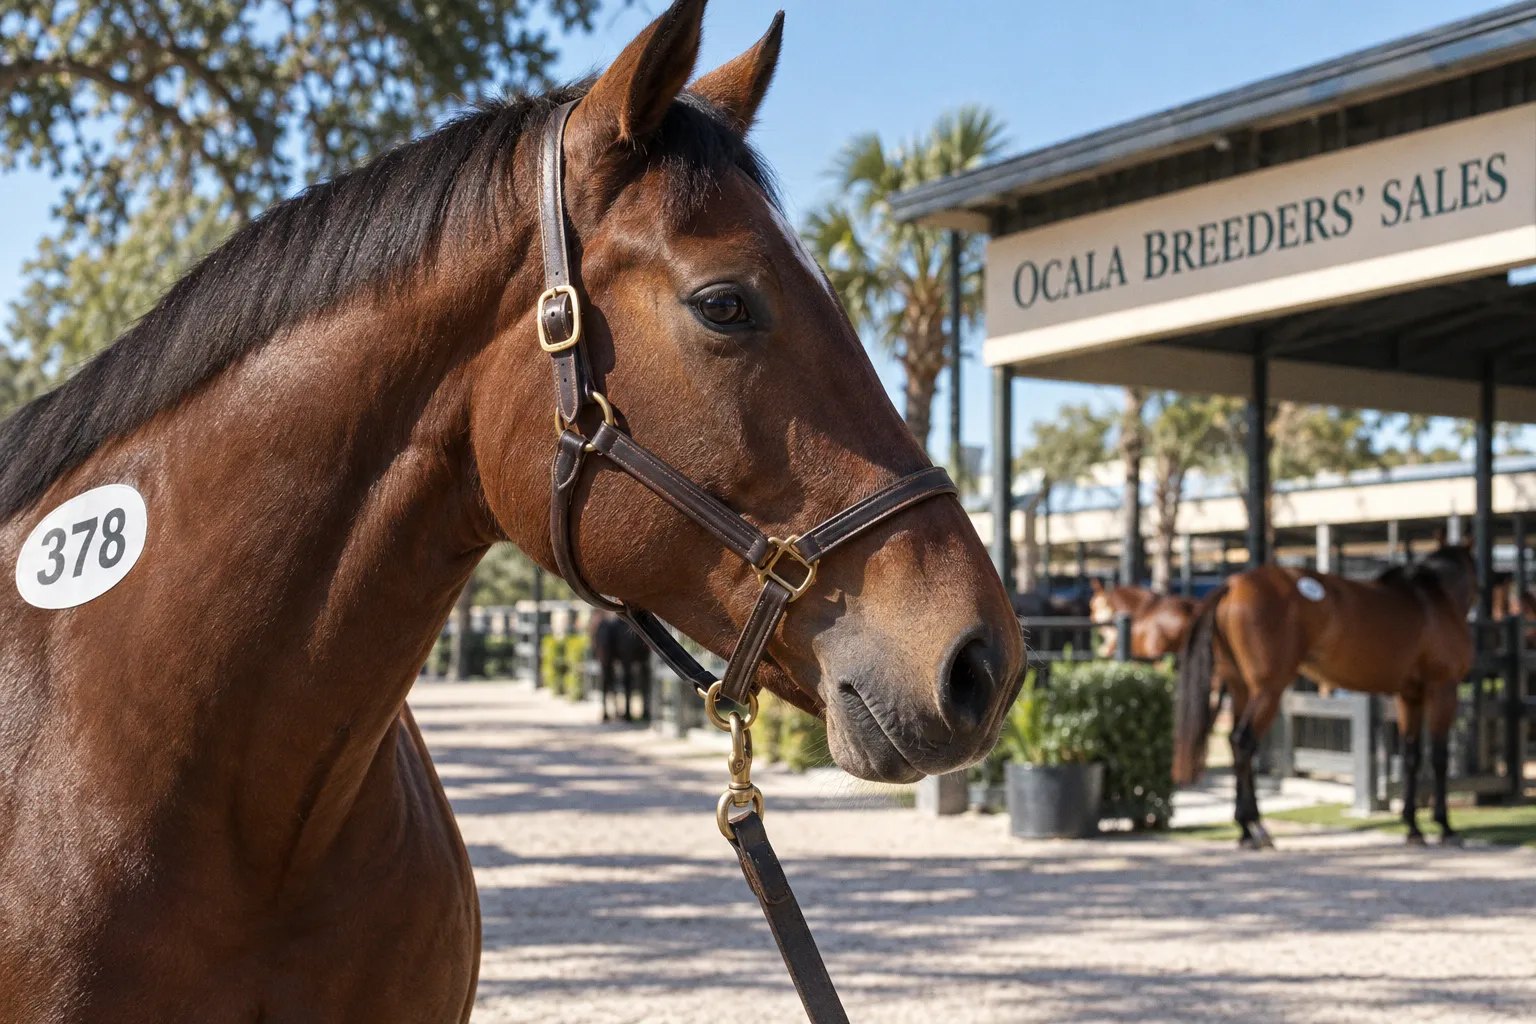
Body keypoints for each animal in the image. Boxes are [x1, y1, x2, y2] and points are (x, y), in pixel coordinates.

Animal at [1175, 544, 1477, 849]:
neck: (1434, 600)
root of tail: (1233, 585)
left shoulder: (1409, 695)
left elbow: (1411, 757)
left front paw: (1413, 827)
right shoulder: (1443, 688)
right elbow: (1439, 757)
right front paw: (1445, 826)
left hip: (1240, 688)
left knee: (1235, 743)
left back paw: (1246, 832)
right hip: (1268, 690)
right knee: (1243, 741)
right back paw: (1257, 827)